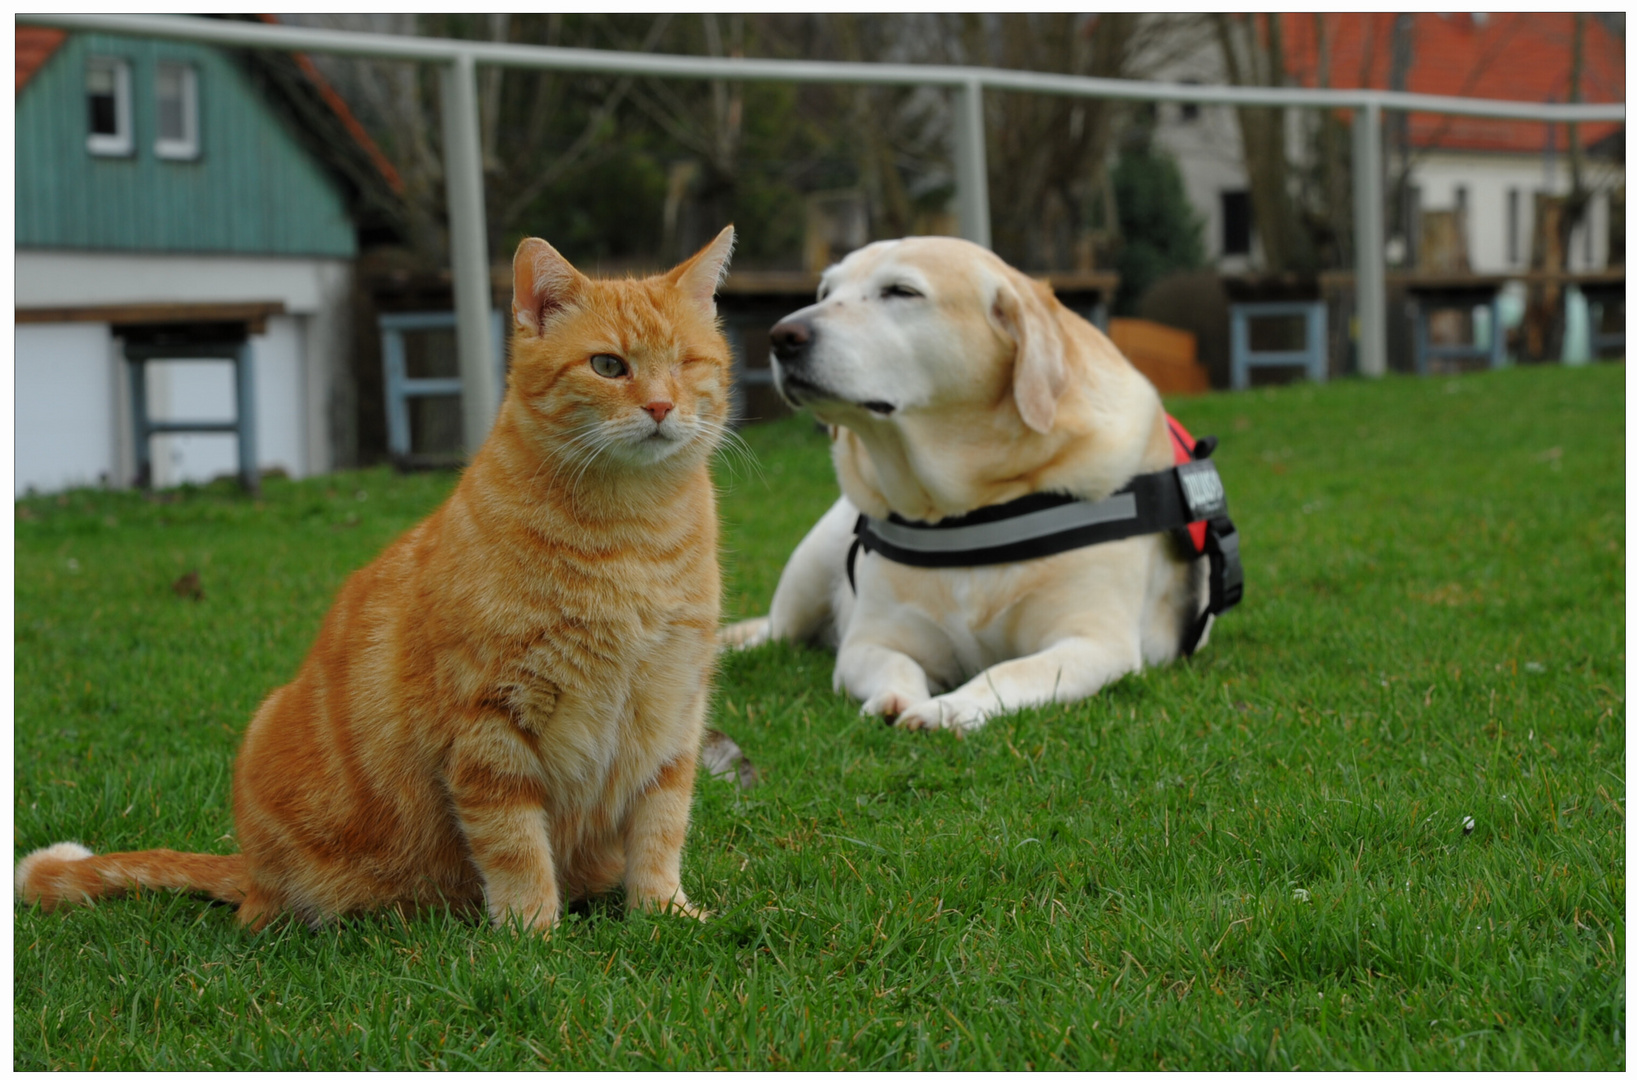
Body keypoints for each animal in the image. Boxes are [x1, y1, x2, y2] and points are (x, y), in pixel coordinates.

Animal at [14, 225, 736, 929]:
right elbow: (515, 846)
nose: (662, 406)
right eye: (608, 366)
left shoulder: (675, 716)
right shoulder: (489, 724)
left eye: (686, 363)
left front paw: (664, 912)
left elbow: (661, 829)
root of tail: (250, 872)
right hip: (269, 748)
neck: (633, 538)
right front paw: (533, 934)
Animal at [723, 232, 1231, 729]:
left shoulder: (1095, 644)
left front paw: (950, 707)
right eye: (825, 292)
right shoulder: (869, 642)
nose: (782, 336)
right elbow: (895, 666)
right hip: (808, 570)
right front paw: (896, 699)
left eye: (901, 291)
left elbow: (1010, 671)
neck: (970, 508)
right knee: (773, 634)